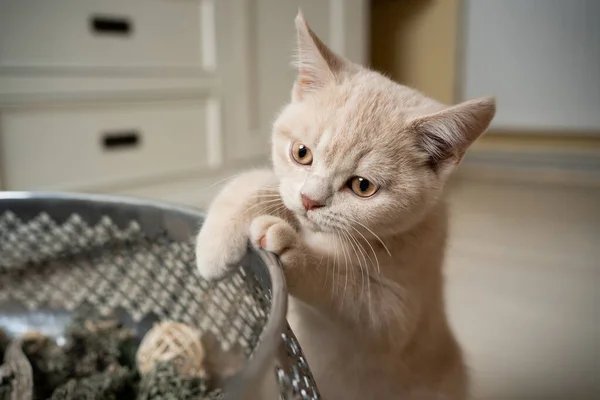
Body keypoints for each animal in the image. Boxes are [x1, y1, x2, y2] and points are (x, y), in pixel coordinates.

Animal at [195, 11, 494, 400]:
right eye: (301, 153)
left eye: (362, 186)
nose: (310, 201)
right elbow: (258, 182)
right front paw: (214, 245)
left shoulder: (396, 315)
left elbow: (345, 287)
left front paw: (290, 249)